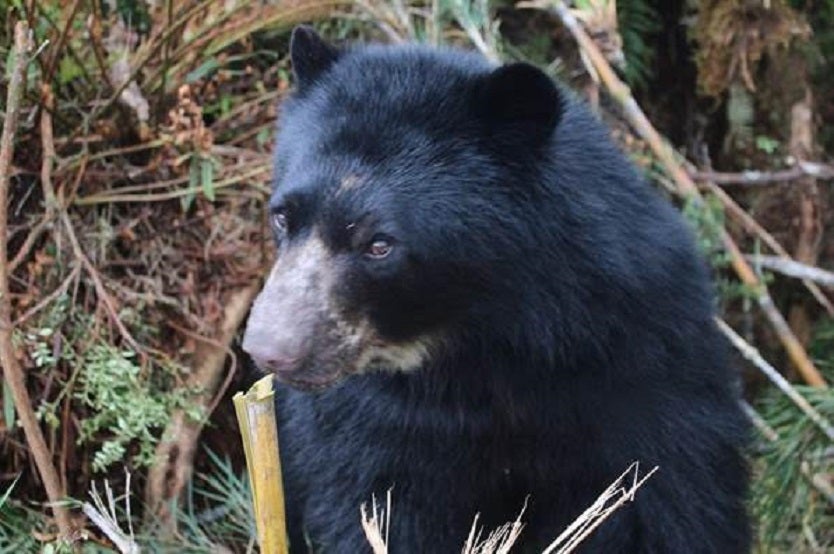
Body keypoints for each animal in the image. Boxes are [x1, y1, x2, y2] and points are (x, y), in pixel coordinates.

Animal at [242, 25, 750, 553]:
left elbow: (671, 502)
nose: (270, 349)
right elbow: (371, 505)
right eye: (282, 216)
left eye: (380, 244)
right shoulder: (368, 423)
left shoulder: (645, 371)